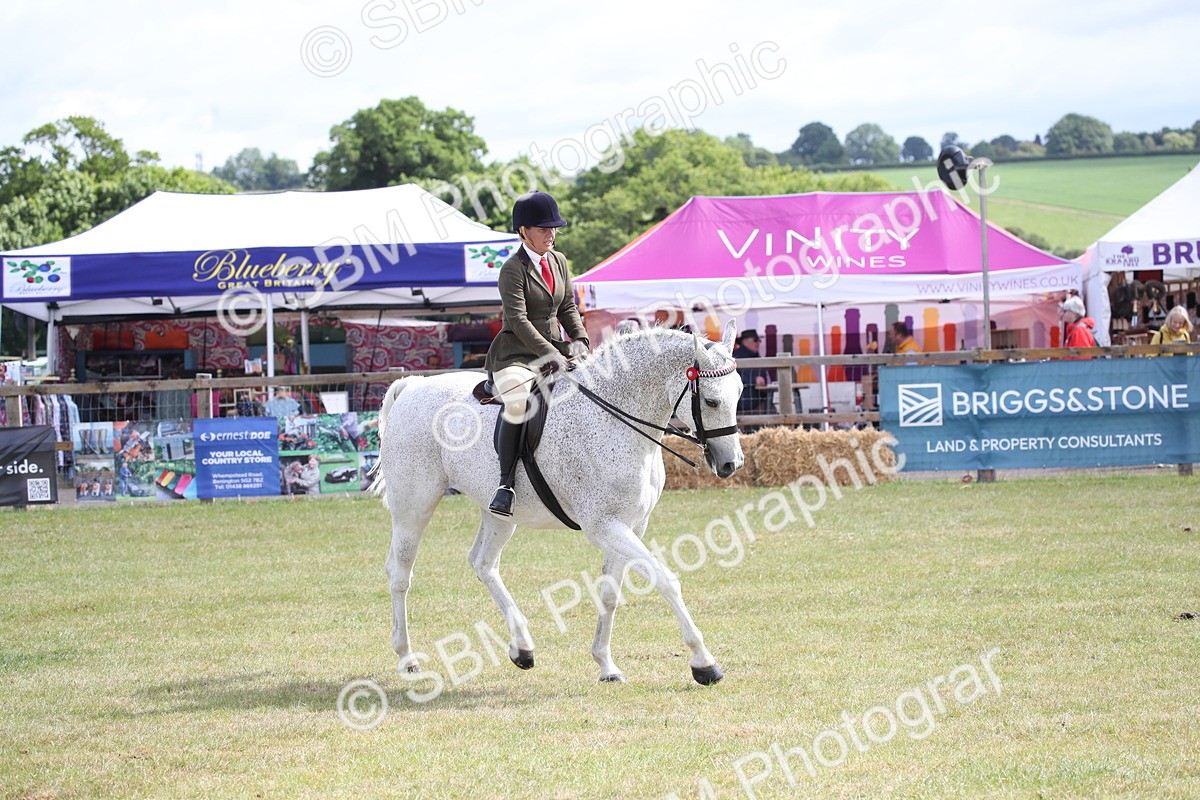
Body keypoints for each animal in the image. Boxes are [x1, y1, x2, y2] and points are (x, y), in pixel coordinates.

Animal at [371, 322, 746, 685]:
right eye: (712, 402)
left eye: (740, 393)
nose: (732, 464)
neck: (615, 420)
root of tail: (413, 387)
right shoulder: (605, 527)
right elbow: (666, 580)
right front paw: (704, 664)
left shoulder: (630, 525)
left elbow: (609, 594)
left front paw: (606, 665)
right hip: (414, 508)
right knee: (400, 573)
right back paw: (407, 659)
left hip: (498, 514)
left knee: (483, 563)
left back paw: (522, 648)